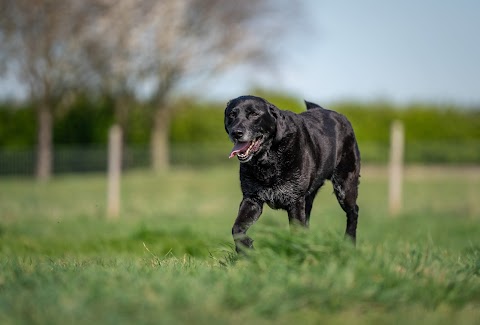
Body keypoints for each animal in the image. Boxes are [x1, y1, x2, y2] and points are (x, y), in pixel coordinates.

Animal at [225, 95, 360, 252]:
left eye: (254, 114)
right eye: (232, 114)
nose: (236, 133)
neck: (269, 160)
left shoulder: (295, 201)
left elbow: (296, 231)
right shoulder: (252, 199)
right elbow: (237, 228)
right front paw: (246, 249)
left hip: (344, 187)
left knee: (353, 212)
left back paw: (349, 244)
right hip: (309, 198)